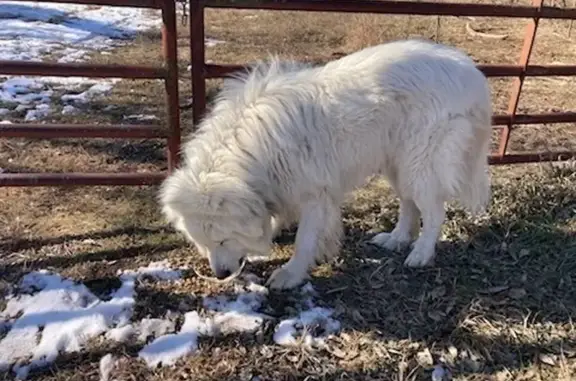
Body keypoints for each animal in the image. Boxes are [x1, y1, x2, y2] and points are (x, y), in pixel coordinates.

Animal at [160, 37, 492, 288]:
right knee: (409, 204)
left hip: (419, 163)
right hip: (396, 162)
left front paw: (290, 274)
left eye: (223, 239)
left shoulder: (315, 195)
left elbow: (305, 241)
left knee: (434, 212)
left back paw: (421, 254)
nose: (221, 275)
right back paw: (396, 239)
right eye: (203, 242)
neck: (253, 148)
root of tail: (470, 69)